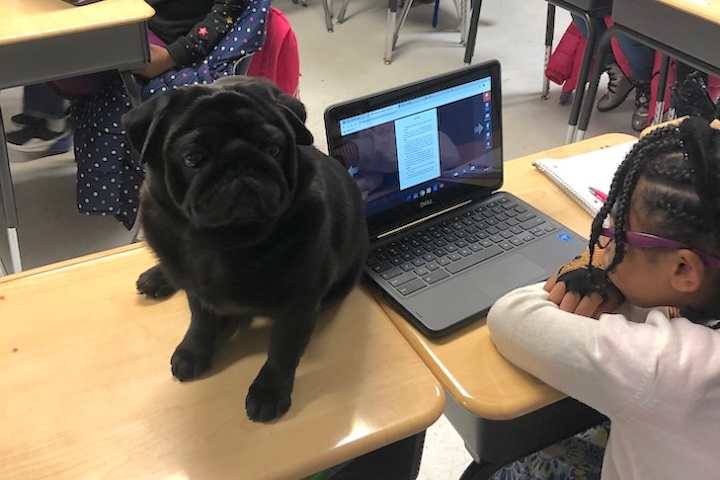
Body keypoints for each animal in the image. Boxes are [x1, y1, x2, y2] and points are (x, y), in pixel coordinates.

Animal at [121, 77, 368, 422]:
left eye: (273, 150)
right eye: (193, 158)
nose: (239, 165)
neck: (227, 242)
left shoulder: (300, 304)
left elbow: (283, 349)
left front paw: (269, 391)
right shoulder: (198, 292)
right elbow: (200, 322)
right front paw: (194, 351)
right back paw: (159, 277)